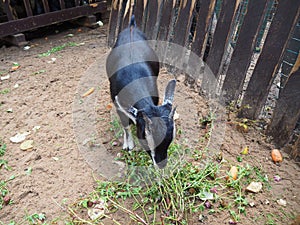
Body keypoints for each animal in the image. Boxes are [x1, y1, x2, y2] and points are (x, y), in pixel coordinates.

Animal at [105, 15, 176, 169]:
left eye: (170, 140)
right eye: (145, 137)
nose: (161, 164)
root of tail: (132, 26)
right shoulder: (117, 103)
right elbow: (125, 124)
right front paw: (129, 144)